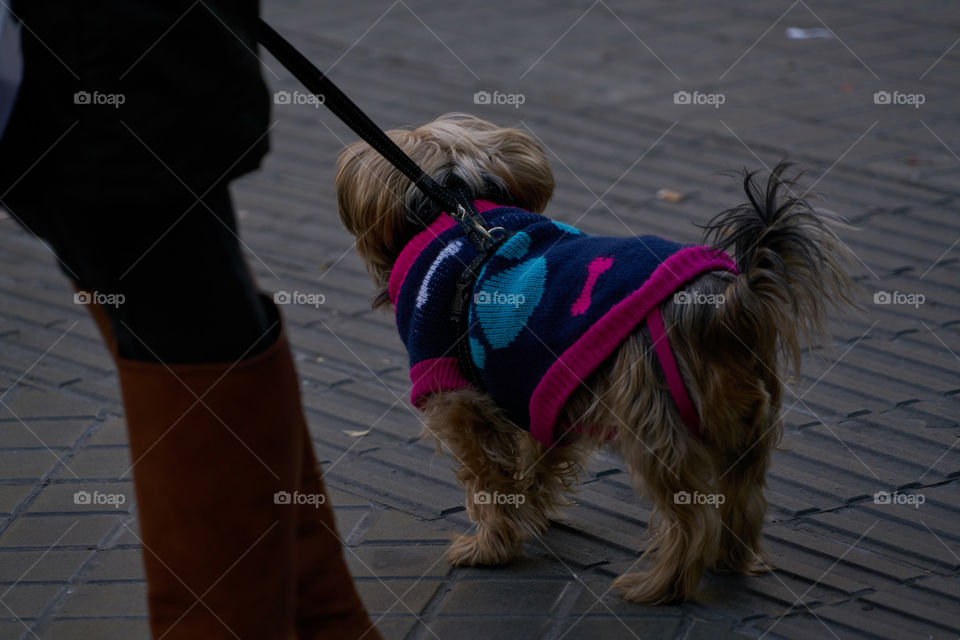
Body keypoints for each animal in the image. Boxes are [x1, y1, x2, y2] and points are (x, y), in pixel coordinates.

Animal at [332, 114, 856, 600]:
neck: (460, 208)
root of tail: (724, 305)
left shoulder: (456, 394)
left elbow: (488, 477)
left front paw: (490, 546)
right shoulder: (539, 386)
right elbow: (538, 457)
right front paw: (530, 510)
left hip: (653, 415)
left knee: (690, 519)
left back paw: (660, 585)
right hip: (749, 415)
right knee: (743, 496)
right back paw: (731, 559)